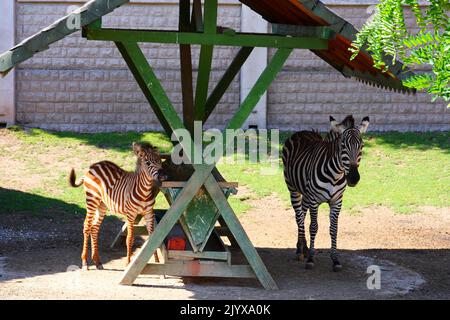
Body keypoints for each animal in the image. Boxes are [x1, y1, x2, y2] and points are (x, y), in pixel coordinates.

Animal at [69, 142, 168, 270]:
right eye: (148, 163)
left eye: (160, 161)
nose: (164, 176)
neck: (145, 192)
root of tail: (93, 166)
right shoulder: (131, 214)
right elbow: (129, 238)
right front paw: (128, 263)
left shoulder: (149, 213)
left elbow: (152, 237)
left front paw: (156, 261)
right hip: (92, 200)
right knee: (87, 226)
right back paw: (85, 262)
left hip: (102, 205)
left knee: (94, 227)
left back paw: (97, 261)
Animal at [282, 115, 370, 270]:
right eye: (343, 146)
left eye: (362, 146)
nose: (353, 179)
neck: (335, 175)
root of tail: (303, 131)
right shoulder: (314, 201)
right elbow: (313, 227)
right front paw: (311, 259)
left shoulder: (337, 202)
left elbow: (334, 229)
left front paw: (335, 260)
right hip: (293, 189)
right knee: (299, 217)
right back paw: (300, 251)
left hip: (306, 194)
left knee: (302, 214)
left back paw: (303, 247)